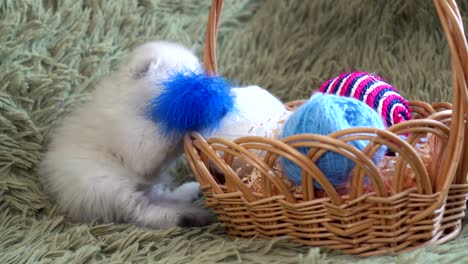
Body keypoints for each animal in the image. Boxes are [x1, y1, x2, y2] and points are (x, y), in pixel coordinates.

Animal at [38, 41, 214, 229]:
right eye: (182, 79)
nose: (204, 91)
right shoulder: (134, 145)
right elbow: (159, 138)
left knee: (161, 197)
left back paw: (189, 194)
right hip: (107, 186)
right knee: (144, 212)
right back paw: (186, 217)